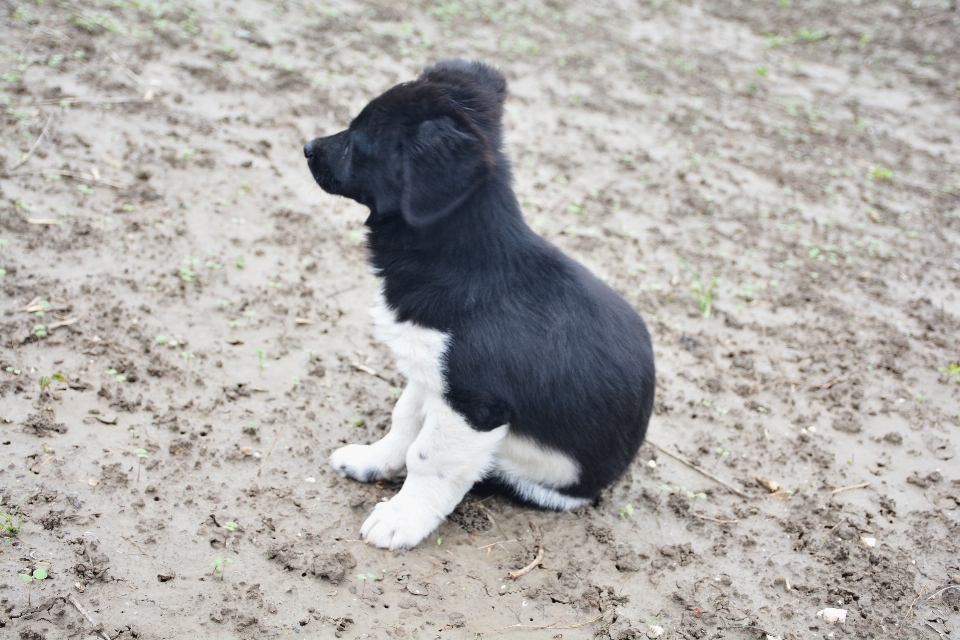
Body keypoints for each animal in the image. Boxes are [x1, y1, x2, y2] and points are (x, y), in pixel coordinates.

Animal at [304, 60, 656, 552]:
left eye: (357, 141)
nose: (307, 148)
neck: (466, 263)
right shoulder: (434, 370)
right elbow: (405, 419)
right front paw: (374, 460)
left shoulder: (473, 405)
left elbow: (427, 456)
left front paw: (401, 518)